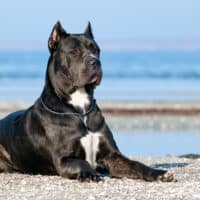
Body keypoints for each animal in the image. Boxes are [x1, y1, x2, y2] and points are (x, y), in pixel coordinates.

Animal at [0, 21, 173, 181]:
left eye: (96, 50)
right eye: (74, 51)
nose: (95, 61)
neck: (80, 107)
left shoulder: (112, 156)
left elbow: (135, 164)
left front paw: (158, 173)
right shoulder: (63, 159)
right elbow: (82, 162)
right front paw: (90, 173)